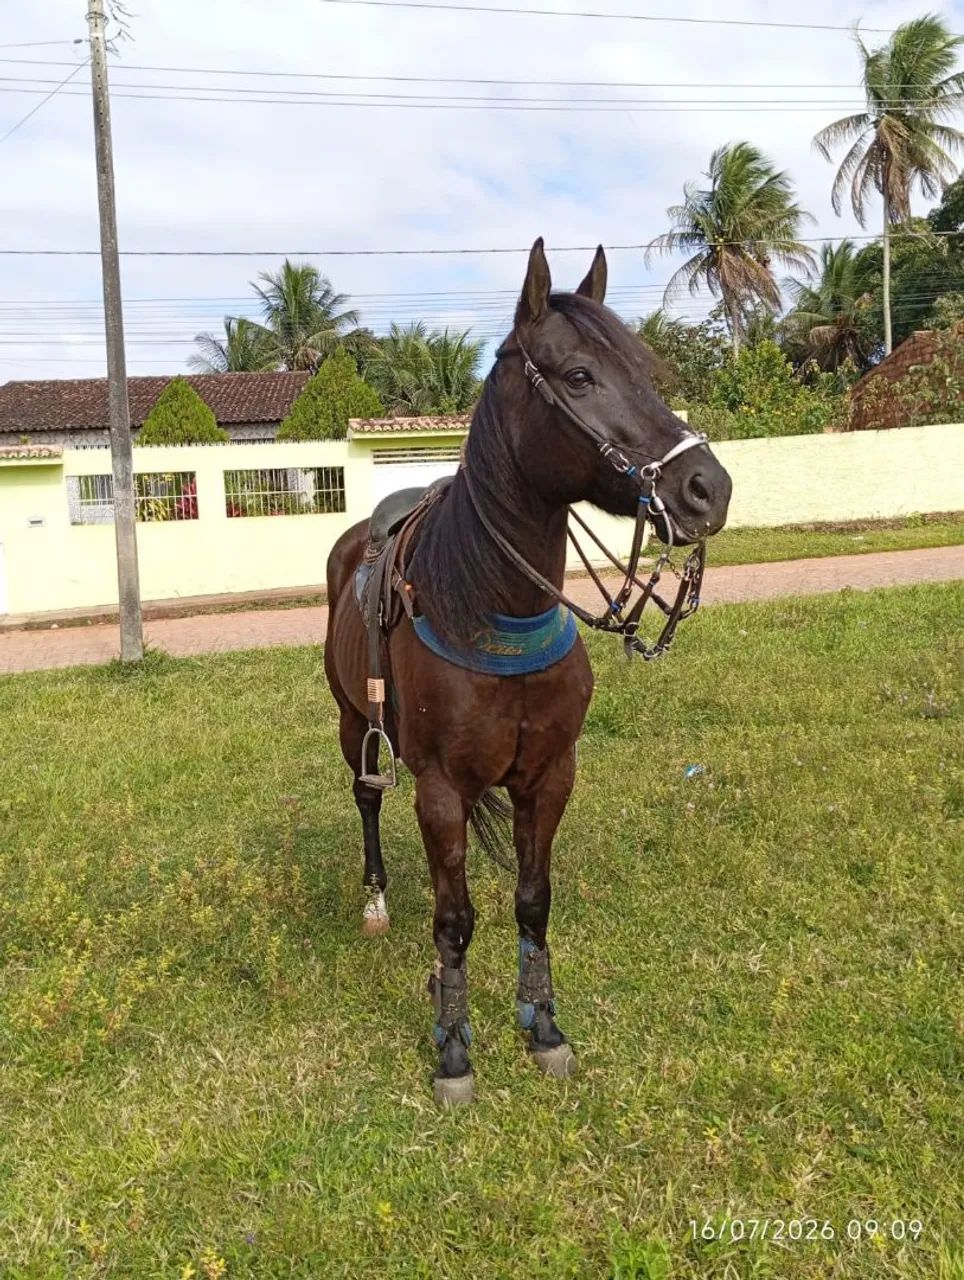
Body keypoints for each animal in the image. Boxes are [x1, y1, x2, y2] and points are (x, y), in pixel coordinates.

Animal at [324, 239, 732, 1105]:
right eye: (578, 376)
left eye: (647, 372)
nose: (707, 488)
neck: (491, 605)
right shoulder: (442, 788)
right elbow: (455, 920)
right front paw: (453, 1047)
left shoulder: (549, 776)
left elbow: (531, 902)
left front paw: (542, 1026)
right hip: (351, 722)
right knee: (367, 796)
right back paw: (377, 897)